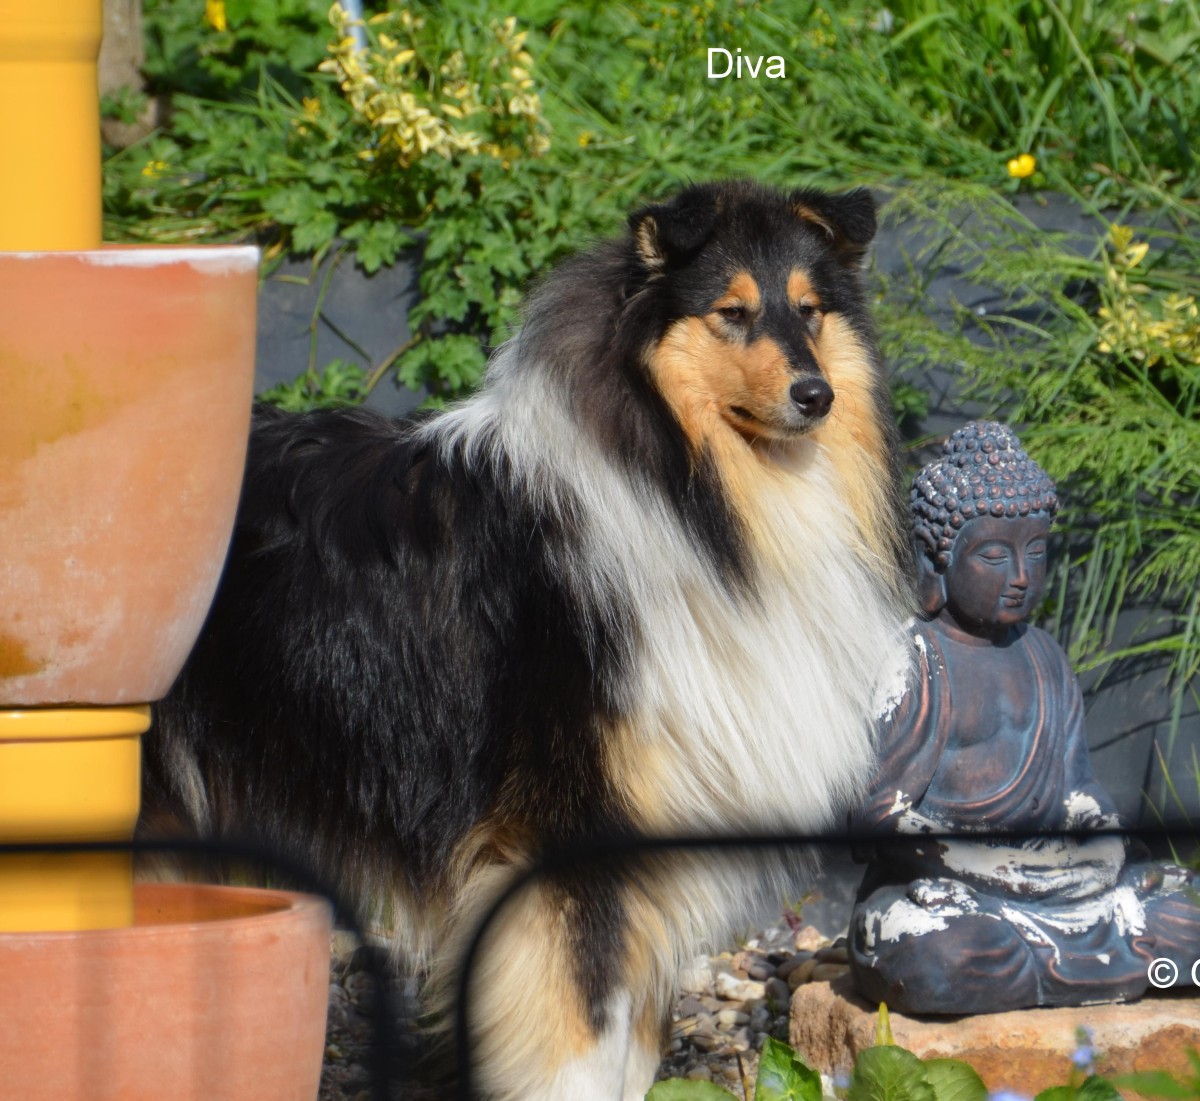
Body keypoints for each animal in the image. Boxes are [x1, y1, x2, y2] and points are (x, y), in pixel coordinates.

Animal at [142, 180, 913, 1101]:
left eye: (810, 310)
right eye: (730, 312)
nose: (814, 394)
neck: (693, 496)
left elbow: (632, 1038)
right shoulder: (566, 832)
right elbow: (583, 1036)